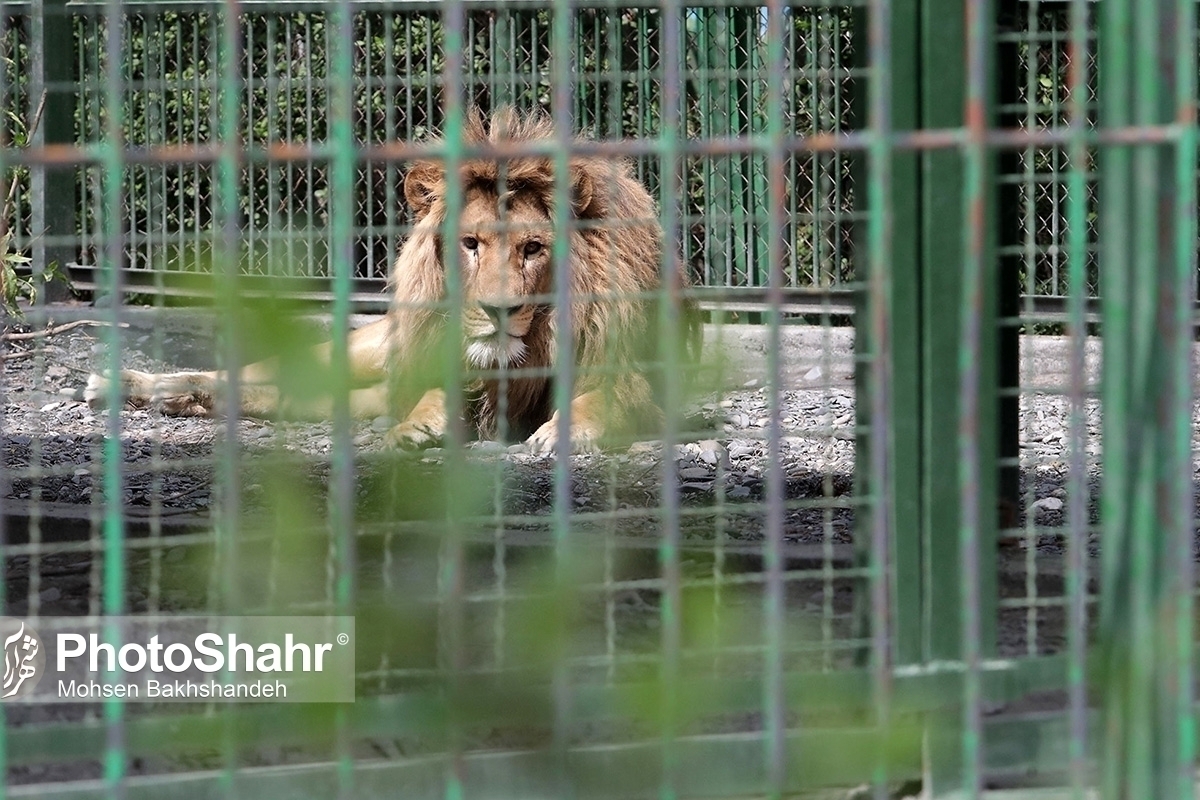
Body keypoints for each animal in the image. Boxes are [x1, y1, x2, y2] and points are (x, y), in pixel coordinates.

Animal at [84, 105, 700, 453]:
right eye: (471, 245)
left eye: (532, 249)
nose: (499, 313)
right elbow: (431, 396)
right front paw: (416, 428)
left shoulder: (642, 377)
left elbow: (608, 397)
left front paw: (560, 431)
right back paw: (132, 386)